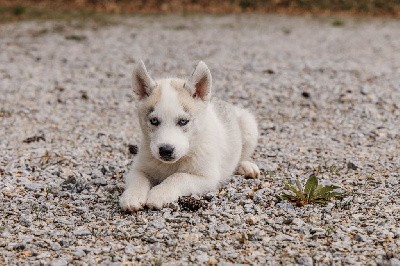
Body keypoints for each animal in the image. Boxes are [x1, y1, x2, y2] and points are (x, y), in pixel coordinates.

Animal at [119, 60, 260, 212]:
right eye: (154, 121)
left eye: (183, 121)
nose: (166, 150)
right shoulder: (138, 168)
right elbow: (138, 180)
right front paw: (132, 196)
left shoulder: (207, 177)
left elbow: (179, 177)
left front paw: (159, 193)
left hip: (249, 125)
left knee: (242, 155)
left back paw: (246, 166)